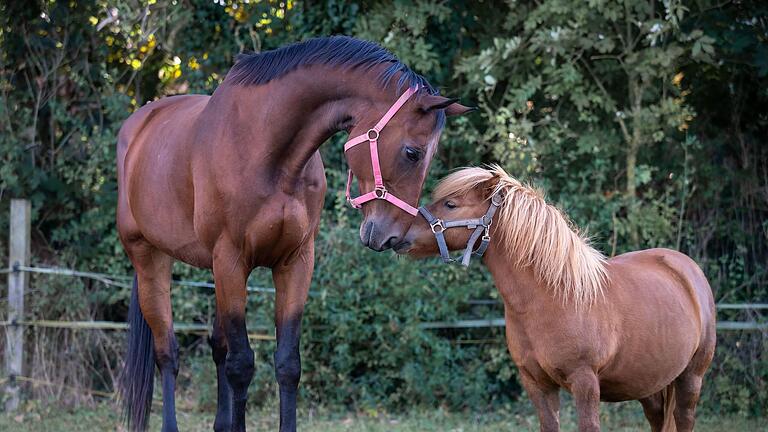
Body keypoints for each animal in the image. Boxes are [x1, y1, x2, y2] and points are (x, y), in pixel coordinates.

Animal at [116, 36, 472, 432]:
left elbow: (287, 363)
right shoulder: (231, 261)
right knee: (168, 353)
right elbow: (241, 365)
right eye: (412, 153)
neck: (267, 150)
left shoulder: (295, 262)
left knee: (217, 348)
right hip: (150, 259)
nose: (391, 235)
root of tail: (138, 124)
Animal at [400, 165, 716, 428]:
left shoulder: (585, 383)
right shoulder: (536, 384)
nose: (398, 234)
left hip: (690, 380)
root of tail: (686, 268)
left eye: (450, 204)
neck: (552, 298)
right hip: (648, 384)